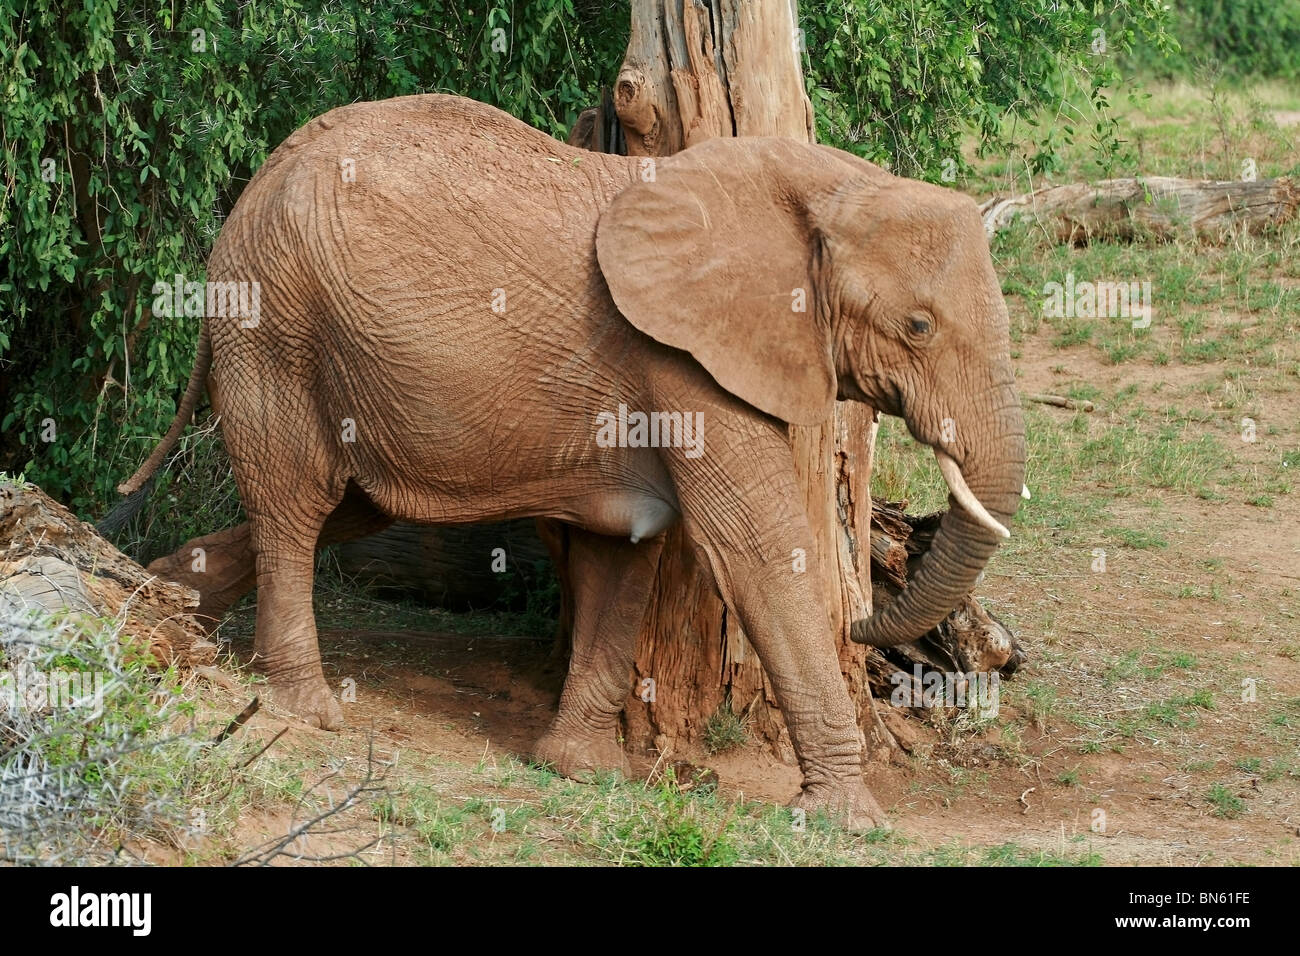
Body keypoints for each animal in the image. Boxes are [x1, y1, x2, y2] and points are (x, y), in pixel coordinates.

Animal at [116, 93, 1024, 832]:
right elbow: (758, 551)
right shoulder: (685, 363)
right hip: (275, 317)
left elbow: (628, 553)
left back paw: (162, 596)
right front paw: (850, 820)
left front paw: (584, 773)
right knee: (296, 499)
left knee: (349, 504)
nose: (869, 619)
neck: (826, 184)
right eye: (918, 327)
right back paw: (303, 708)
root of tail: (256, 185)